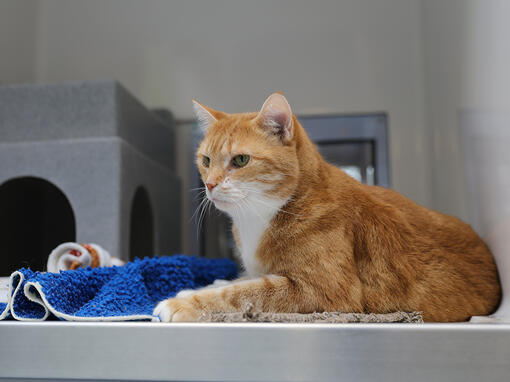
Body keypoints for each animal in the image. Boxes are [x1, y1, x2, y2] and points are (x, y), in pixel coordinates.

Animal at [152, 92, 502, 322]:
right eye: (205, 160)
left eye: (240, 160)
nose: (209, 184)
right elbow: (240, 281)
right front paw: (193, 289)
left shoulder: (325, 291)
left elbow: (243, 293)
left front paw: (181, 304)